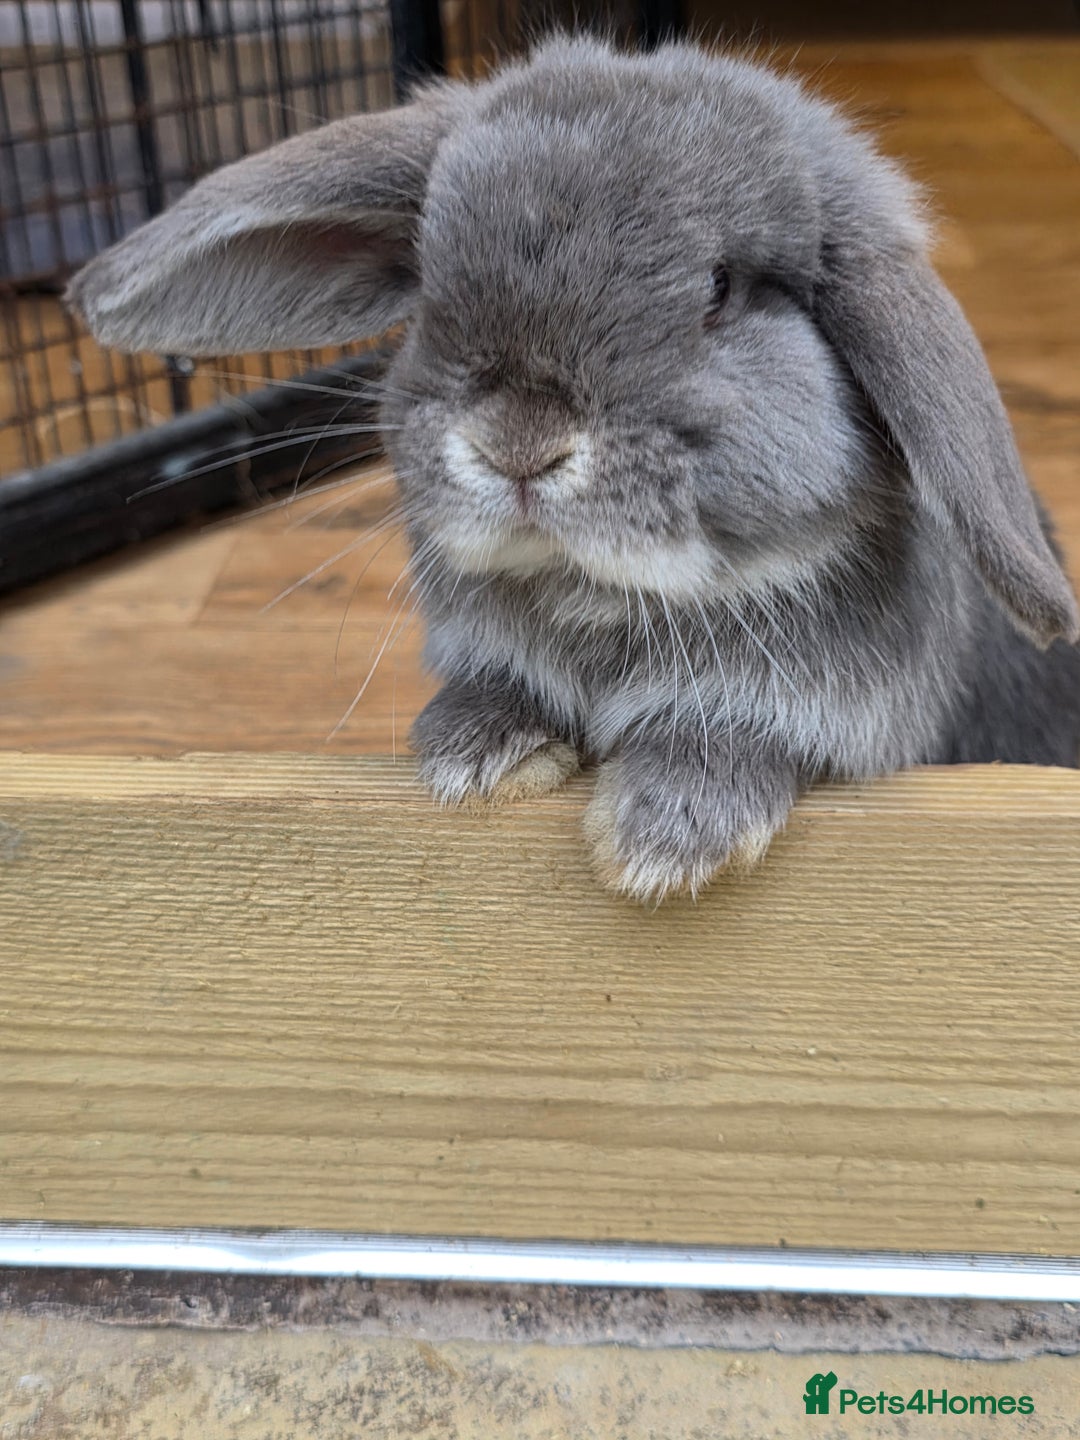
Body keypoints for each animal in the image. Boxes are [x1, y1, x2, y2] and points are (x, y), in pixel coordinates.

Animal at [68, 34, 1080, 902]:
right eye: (429, 287)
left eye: (719, 289)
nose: (518, 443)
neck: (598, 598)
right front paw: (475, 755)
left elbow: (739, 734)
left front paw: (662, 838)